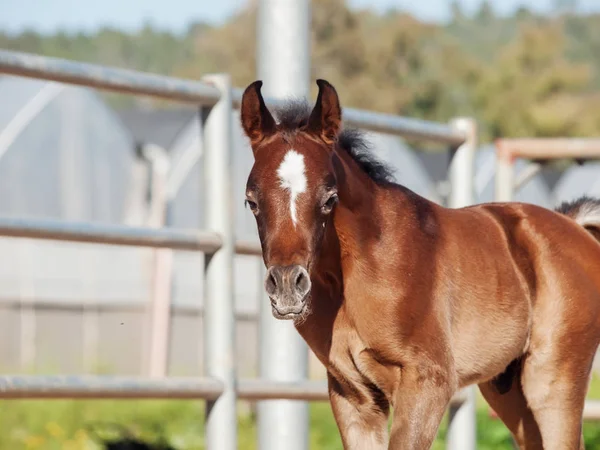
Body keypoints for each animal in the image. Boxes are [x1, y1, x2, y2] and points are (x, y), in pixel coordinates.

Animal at [241, 79, 600, 448]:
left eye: (330, 199)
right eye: (251, 201)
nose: (287, 287)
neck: (360, 271)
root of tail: (575, 227)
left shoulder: (428, 381)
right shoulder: (352, 394)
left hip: (553, 382)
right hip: (509, 391)